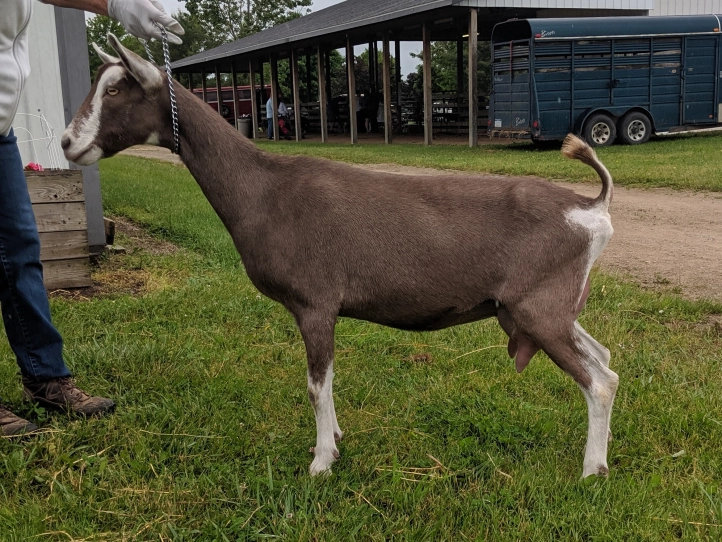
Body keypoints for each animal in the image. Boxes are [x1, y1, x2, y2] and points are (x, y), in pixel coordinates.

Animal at [62, 35, 616, 480]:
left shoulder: (315, 304)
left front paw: (321, 461)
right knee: (606, 360)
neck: (266, 191)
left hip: (539, 310)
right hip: (555, 310)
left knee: (600, 381)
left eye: (116, 90)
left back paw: (592, 471)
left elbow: (316, 385)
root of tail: (592, 206)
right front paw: (334, 442)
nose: (68, 142)